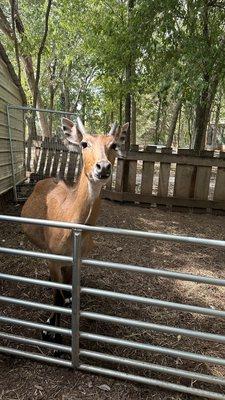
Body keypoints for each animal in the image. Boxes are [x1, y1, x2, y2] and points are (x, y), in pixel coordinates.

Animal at [22, 117, 130, 342]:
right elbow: (57, 295)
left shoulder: (77, 260)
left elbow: (67, 287)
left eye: (114, 145)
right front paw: (50, 332)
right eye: (84, 143)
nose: (103, 167)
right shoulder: (53, 257)